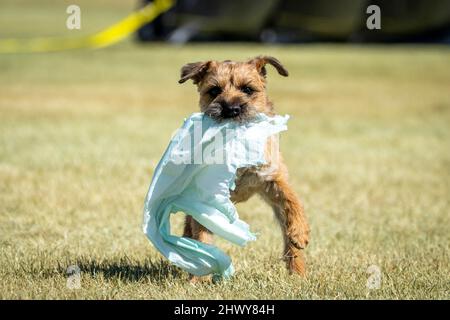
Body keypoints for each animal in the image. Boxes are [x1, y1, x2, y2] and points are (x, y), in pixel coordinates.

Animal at [178, 56, 310, 282]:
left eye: (247, 89)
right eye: (214, 90)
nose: (231, 109)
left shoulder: (272, 178)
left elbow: (292, 199)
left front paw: (300, 231)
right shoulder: (205, 196)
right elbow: (203, 236)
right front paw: (199, 279)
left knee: (289, 242)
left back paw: (297, 271)